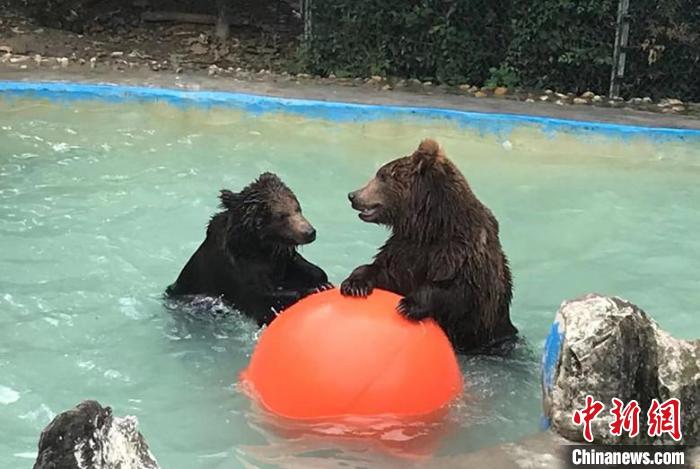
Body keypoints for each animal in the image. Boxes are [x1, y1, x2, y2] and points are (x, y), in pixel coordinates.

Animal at [167, 172, 330, 326]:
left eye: (297, 208)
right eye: (282, 215)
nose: (310, 232)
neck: (257, 246)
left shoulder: (278, 258)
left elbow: (300, 266)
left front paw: (322, 282)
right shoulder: (237, 270)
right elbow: (264, 298)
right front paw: (312, 289)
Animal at [340, 139, 517, 353]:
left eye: (382, 176)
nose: (353, 195)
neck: (430, 227)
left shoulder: (460, 253)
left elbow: (459, 292)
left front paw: (408, 305)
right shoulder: (406, 249)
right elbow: (384, 270)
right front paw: (354, 284)